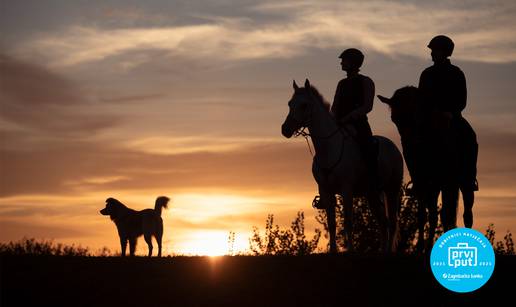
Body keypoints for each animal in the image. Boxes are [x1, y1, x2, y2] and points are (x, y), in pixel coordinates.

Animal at [280, 80, 406, 255]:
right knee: (383, 223)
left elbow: (348, 223)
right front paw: (333, 251)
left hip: (391, 190)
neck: (329, 148)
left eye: (304, 105)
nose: (285, 129)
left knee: (392, 223)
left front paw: (350, 251)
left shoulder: (347, 190)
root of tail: (393, 147)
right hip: (372, 194)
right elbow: (332, 224)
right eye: (290, 103)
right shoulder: (326, 191)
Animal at [376, 86, 478, 253]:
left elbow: (445, 215)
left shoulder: (446, 183)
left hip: (463, 183)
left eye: (418, 115)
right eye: (394, 118)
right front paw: (421, 248)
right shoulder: (422, 183)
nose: (412, 145)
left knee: (466, 214)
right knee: (436, 215)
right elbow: (424, 215)